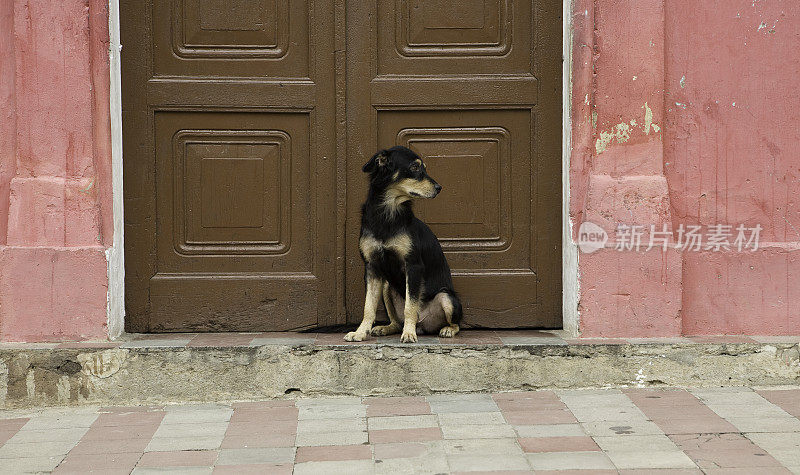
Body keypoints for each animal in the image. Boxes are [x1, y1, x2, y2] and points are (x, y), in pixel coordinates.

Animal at [344, 145, 462, 342]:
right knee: (396, 322)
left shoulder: (413, 266)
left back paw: (445, 330)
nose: (439, 188)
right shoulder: (372, 267)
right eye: (415, 167)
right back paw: (385, 328)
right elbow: (368, 306)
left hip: (446, 297)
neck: (387, 212)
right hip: (386, 286)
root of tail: (423, 325)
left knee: (455, 323)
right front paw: (360, 332)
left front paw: (408, 334)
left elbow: (410, 307)